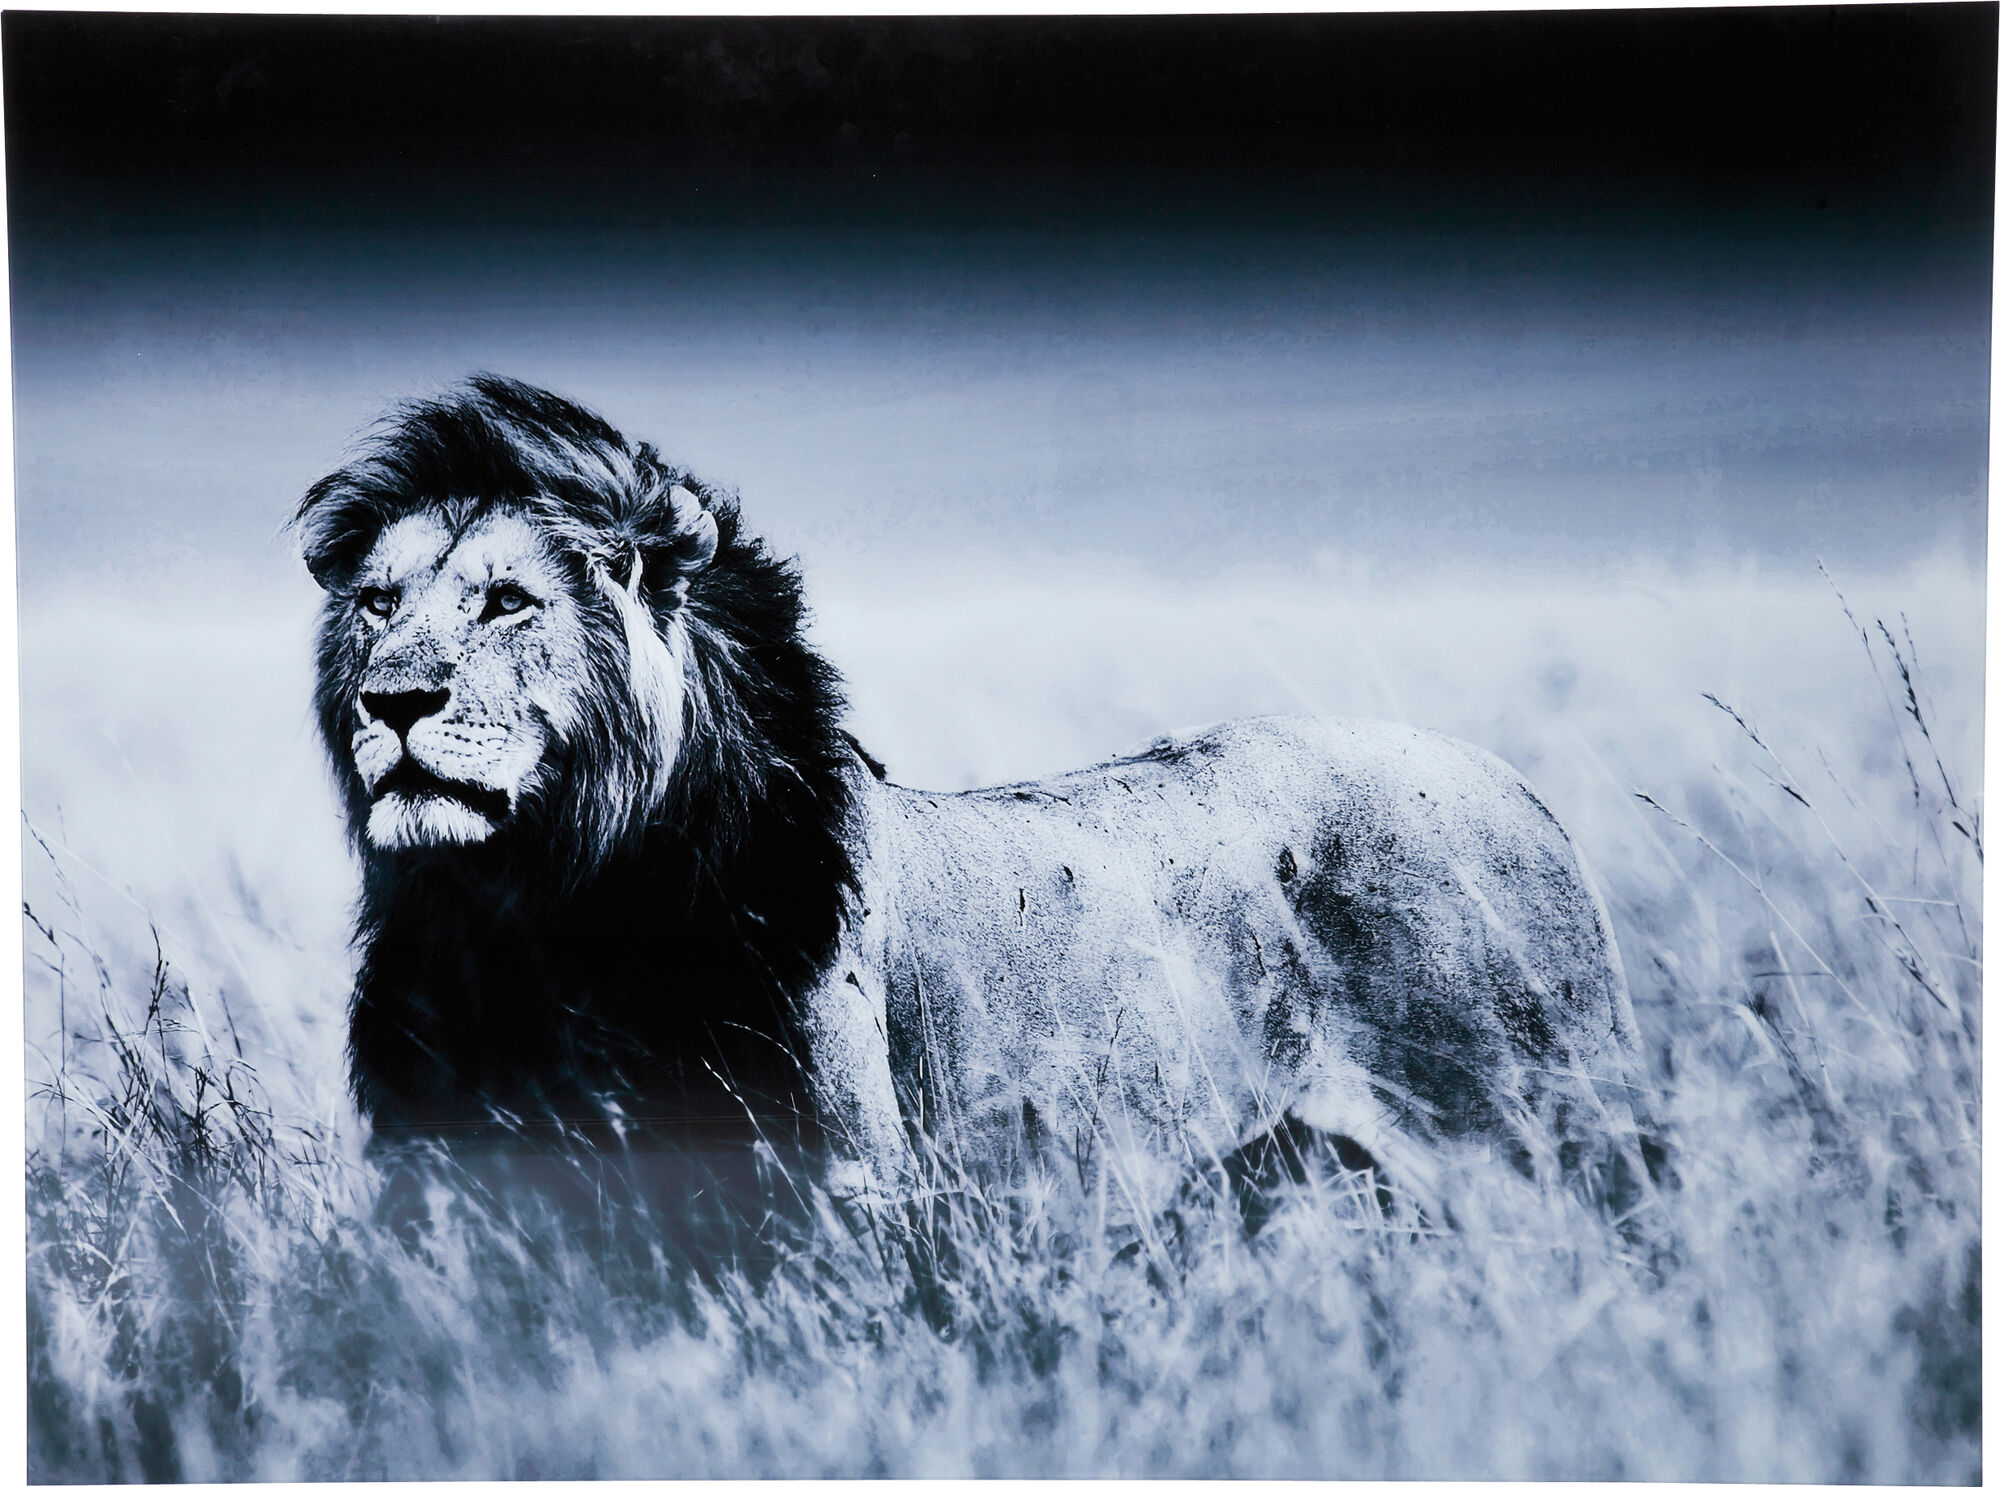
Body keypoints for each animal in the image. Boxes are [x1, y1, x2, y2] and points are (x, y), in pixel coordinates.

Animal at [297, 376, 1654, 1235]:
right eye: (378, 601)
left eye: (506, 602)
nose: (393, 699)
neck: (540, 917)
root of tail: (1515, 786)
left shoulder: (839, 1193)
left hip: (1539, 1144)